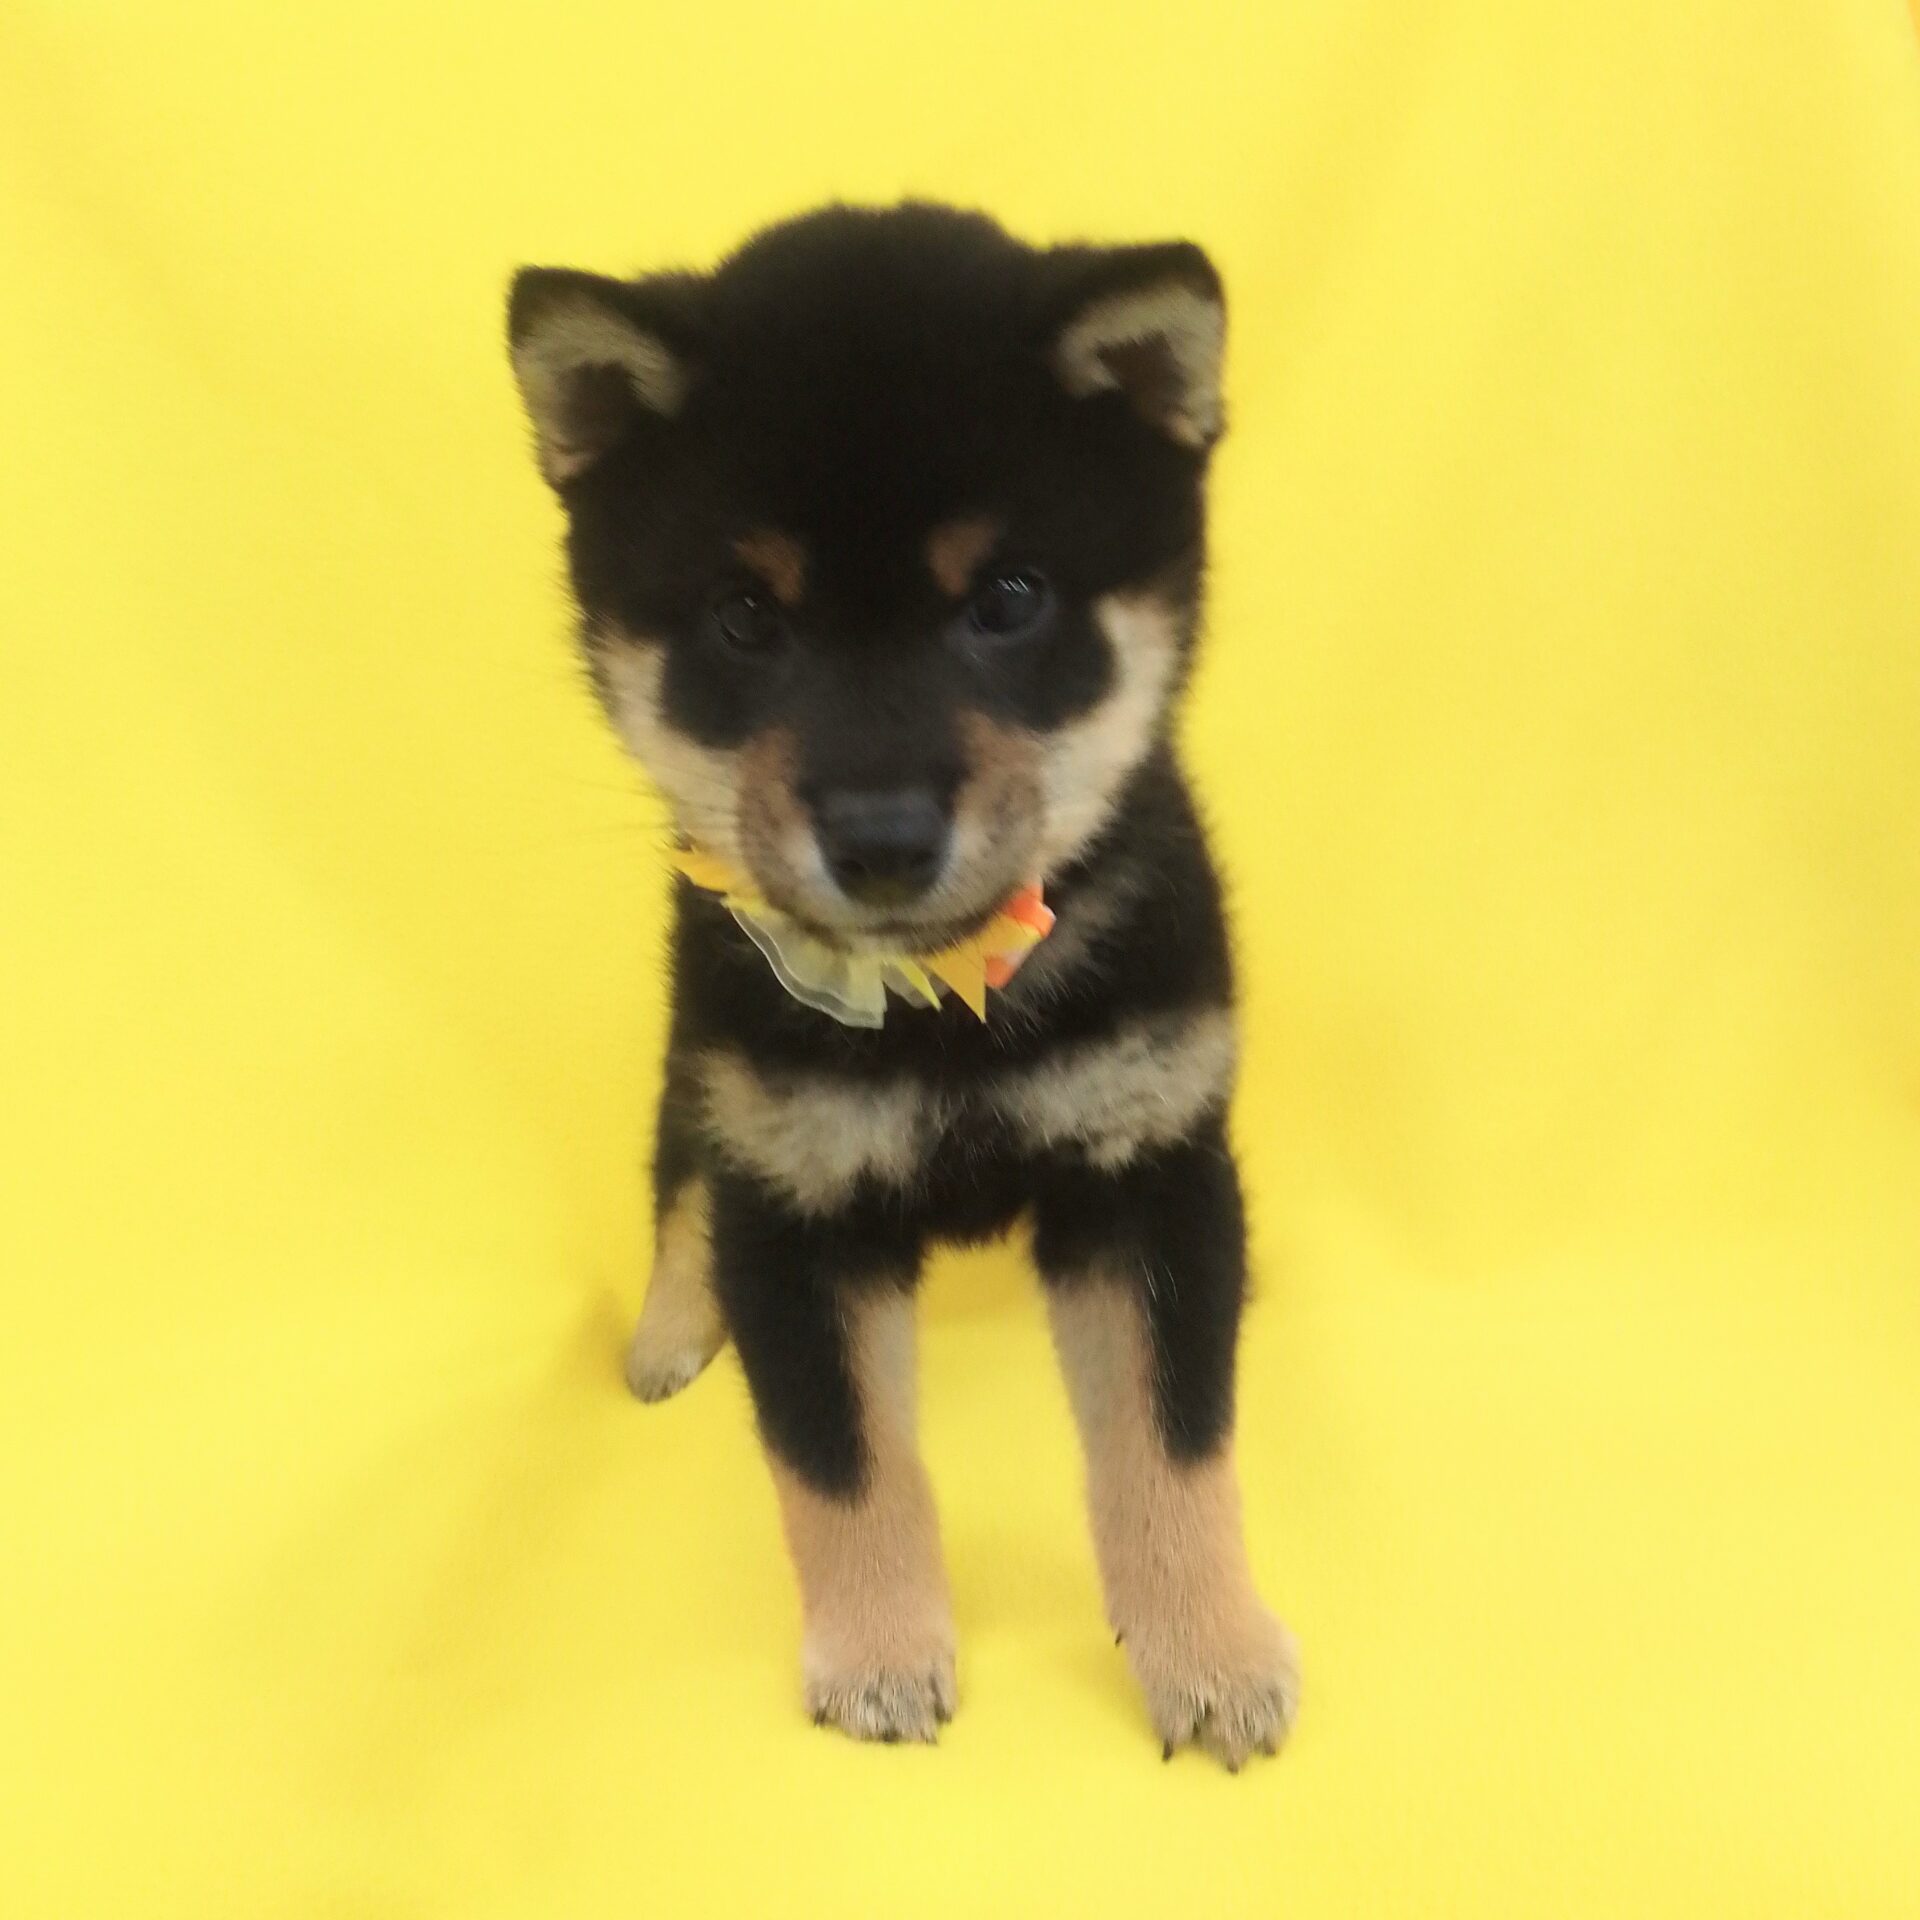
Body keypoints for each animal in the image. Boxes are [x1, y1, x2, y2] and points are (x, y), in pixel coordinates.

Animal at [507, 202, 1298, 1767]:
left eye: (1008, 598)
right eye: (745, 616)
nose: (879, 836)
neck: (943, 1010)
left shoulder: (1151, 1169)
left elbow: (1174, 1451)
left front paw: (1212, 1651)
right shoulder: (790, 1201)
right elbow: (843, 1465)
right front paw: (877, 1655)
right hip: (701, 1063)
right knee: (675, 1178)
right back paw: (673, 1328)